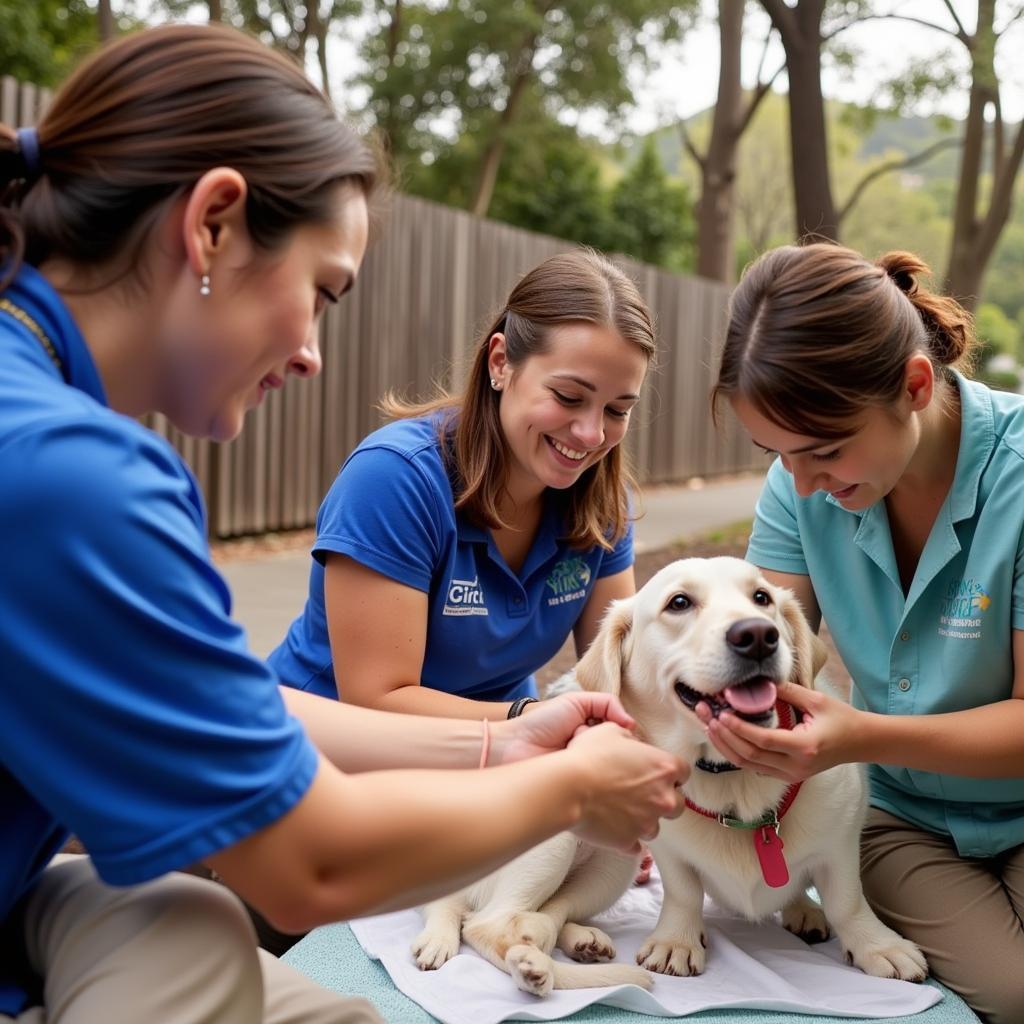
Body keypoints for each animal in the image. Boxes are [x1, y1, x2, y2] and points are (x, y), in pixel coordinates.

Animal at [577, 557, 929, 978]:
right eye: (679, 602)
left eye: (762, 598)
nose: (759, 635)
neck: (732, 779)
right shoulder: (667, 850)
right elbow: (683, 893)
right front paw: (677, 940)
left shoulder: (841, 842)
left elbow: (847, 900)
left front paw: (877, 945)